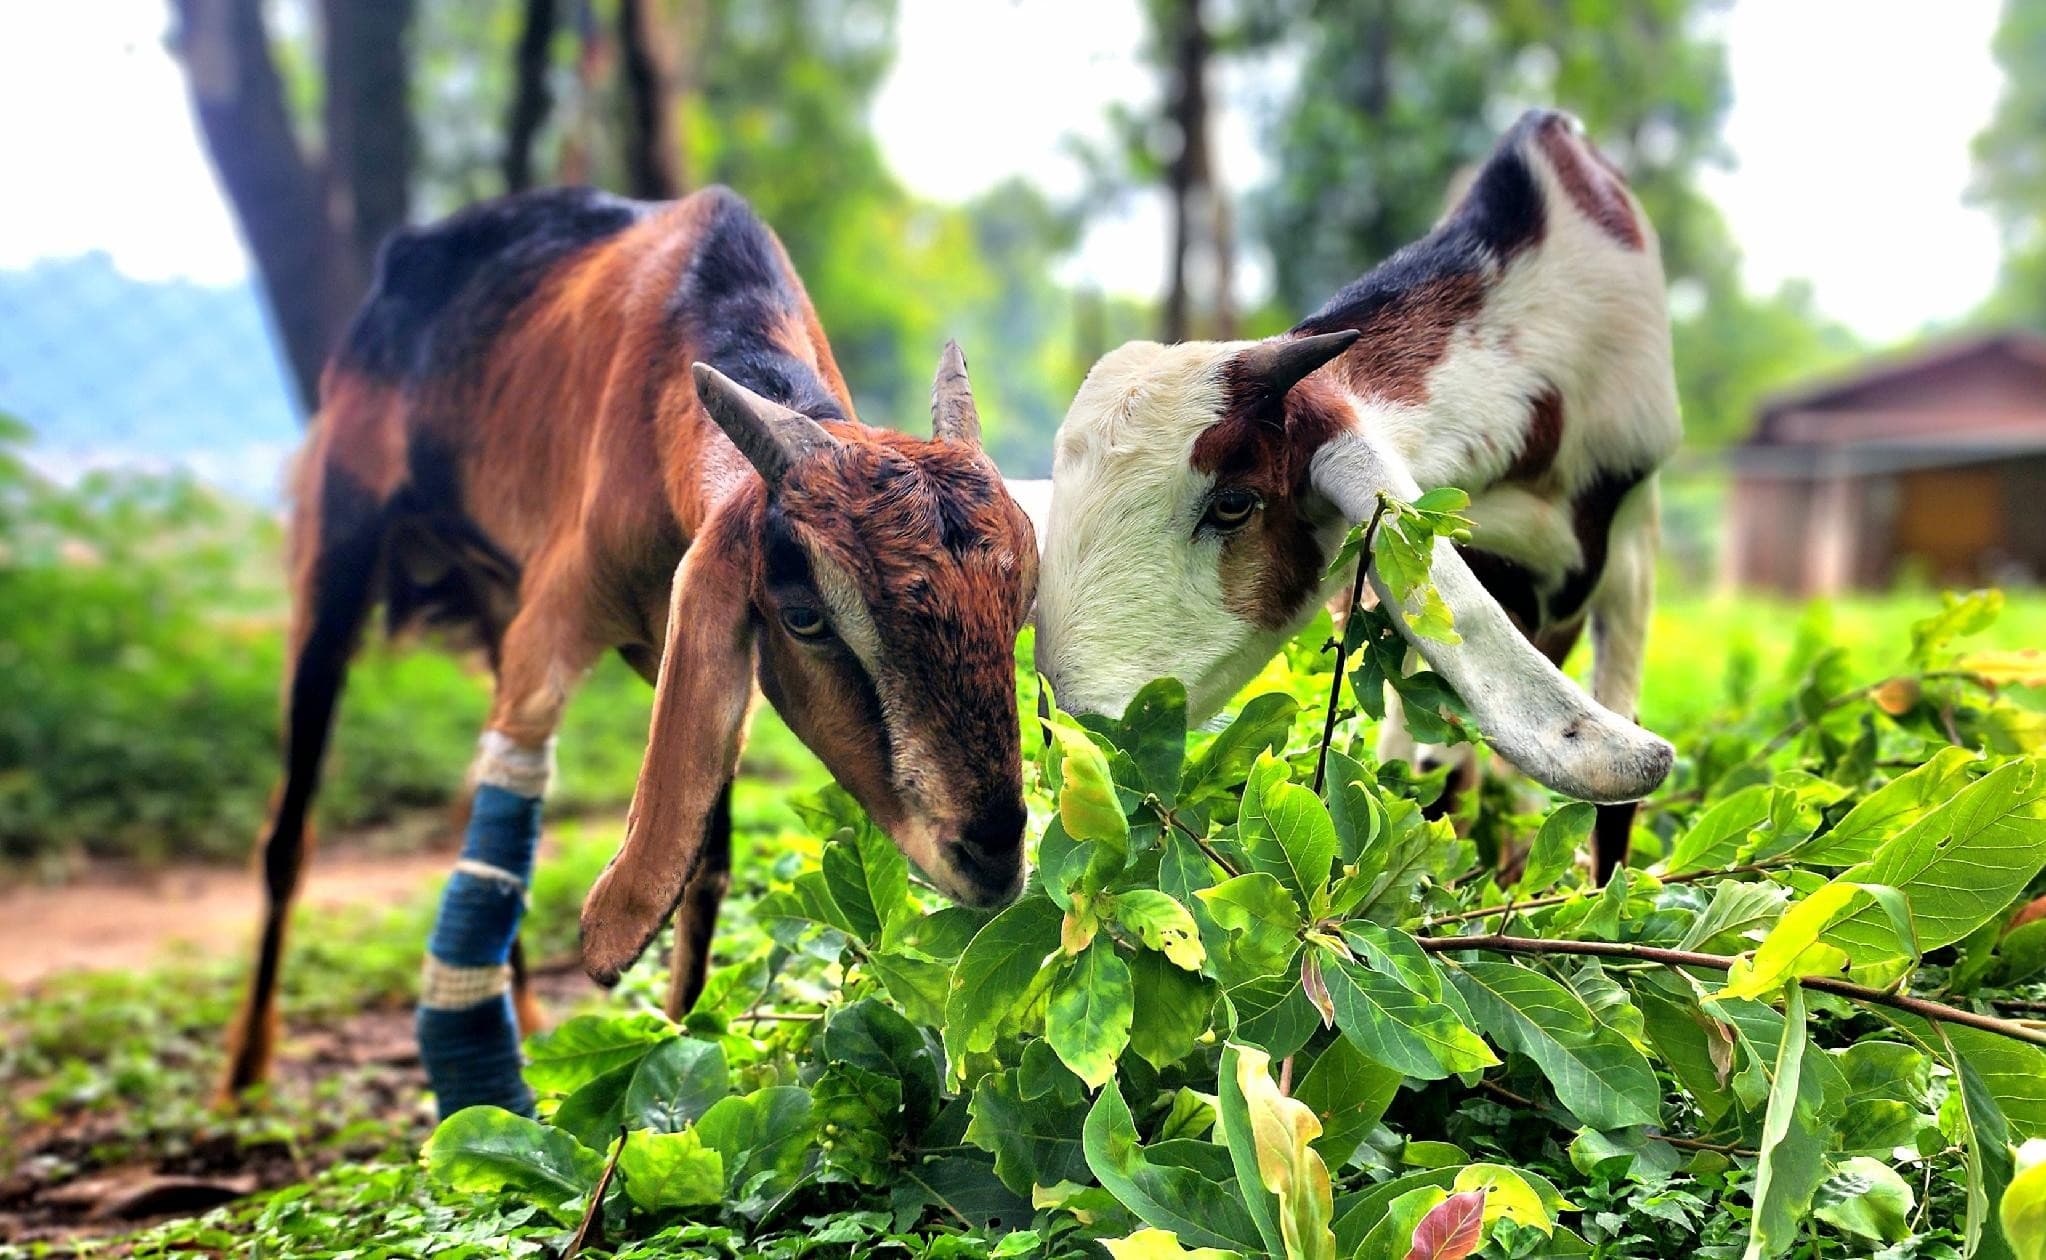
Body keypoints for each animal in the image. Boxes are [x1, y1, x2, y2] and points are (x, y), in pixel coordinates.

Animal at [223, 185, 1038, 1119]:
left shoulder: (698, 645)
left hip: (497, 593)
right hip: (340, 541)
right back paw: (245, 1072)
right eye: (804, 617)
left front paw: (675, 1061)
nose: (992, 852)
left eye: (1017, 605)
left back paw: (529, 1015)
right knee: (292, 827)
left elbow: (705, 861)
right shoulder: (562, 613)